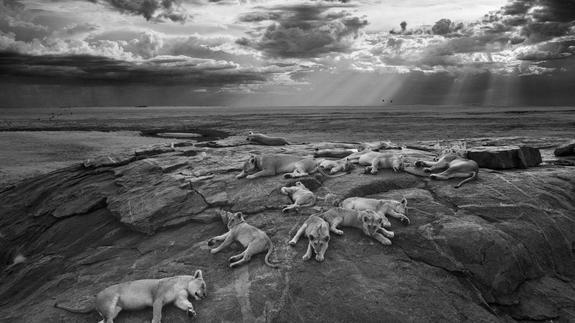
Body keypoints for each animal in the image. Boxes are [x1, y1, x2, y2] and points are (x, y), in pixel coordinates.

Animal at [54, 270, 207, 323]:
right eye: (203, 285)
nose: (205, 295)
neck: (182, 284)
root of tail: (95, 298)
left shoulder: (178, 298)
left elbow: (186, 304)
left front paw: (191, 312)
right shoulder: (158, 298)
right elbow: (157, 314)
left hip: (116, 310)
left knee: (102, 321)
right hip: (110, 302)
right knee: (108, 321)